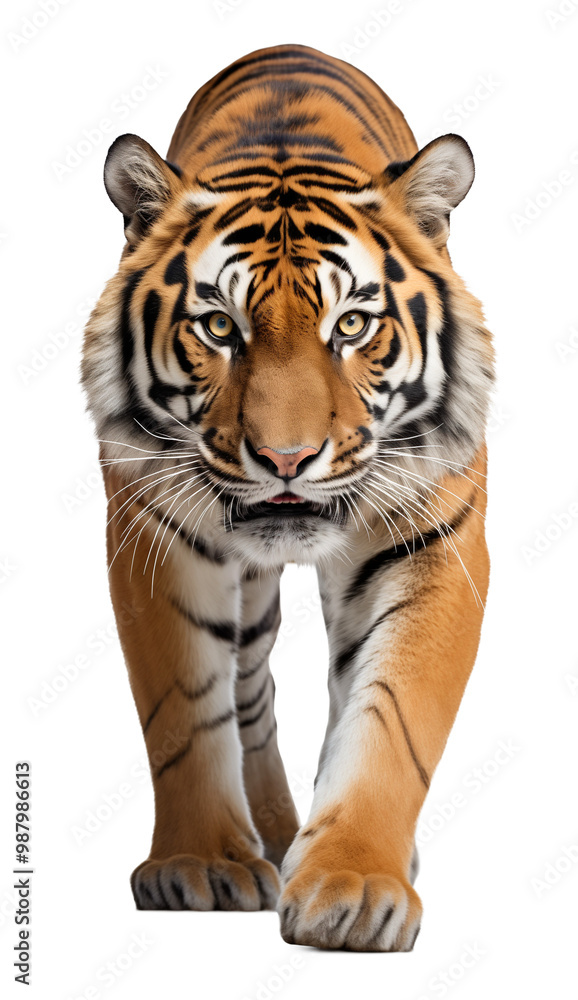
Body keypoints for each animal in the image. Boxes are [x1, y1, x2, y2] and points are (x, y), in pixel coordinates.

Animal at [81, 43, 494, 952]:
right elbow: (183, 710)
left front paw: (356, 885)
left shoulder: (434, 543)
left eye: (352, 327)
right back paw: (268, 833)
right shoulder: (155, 535)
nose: (286, 458)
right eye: (218, 328)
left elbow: (391, 714)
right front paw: (199, 865)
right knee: (248, 686)